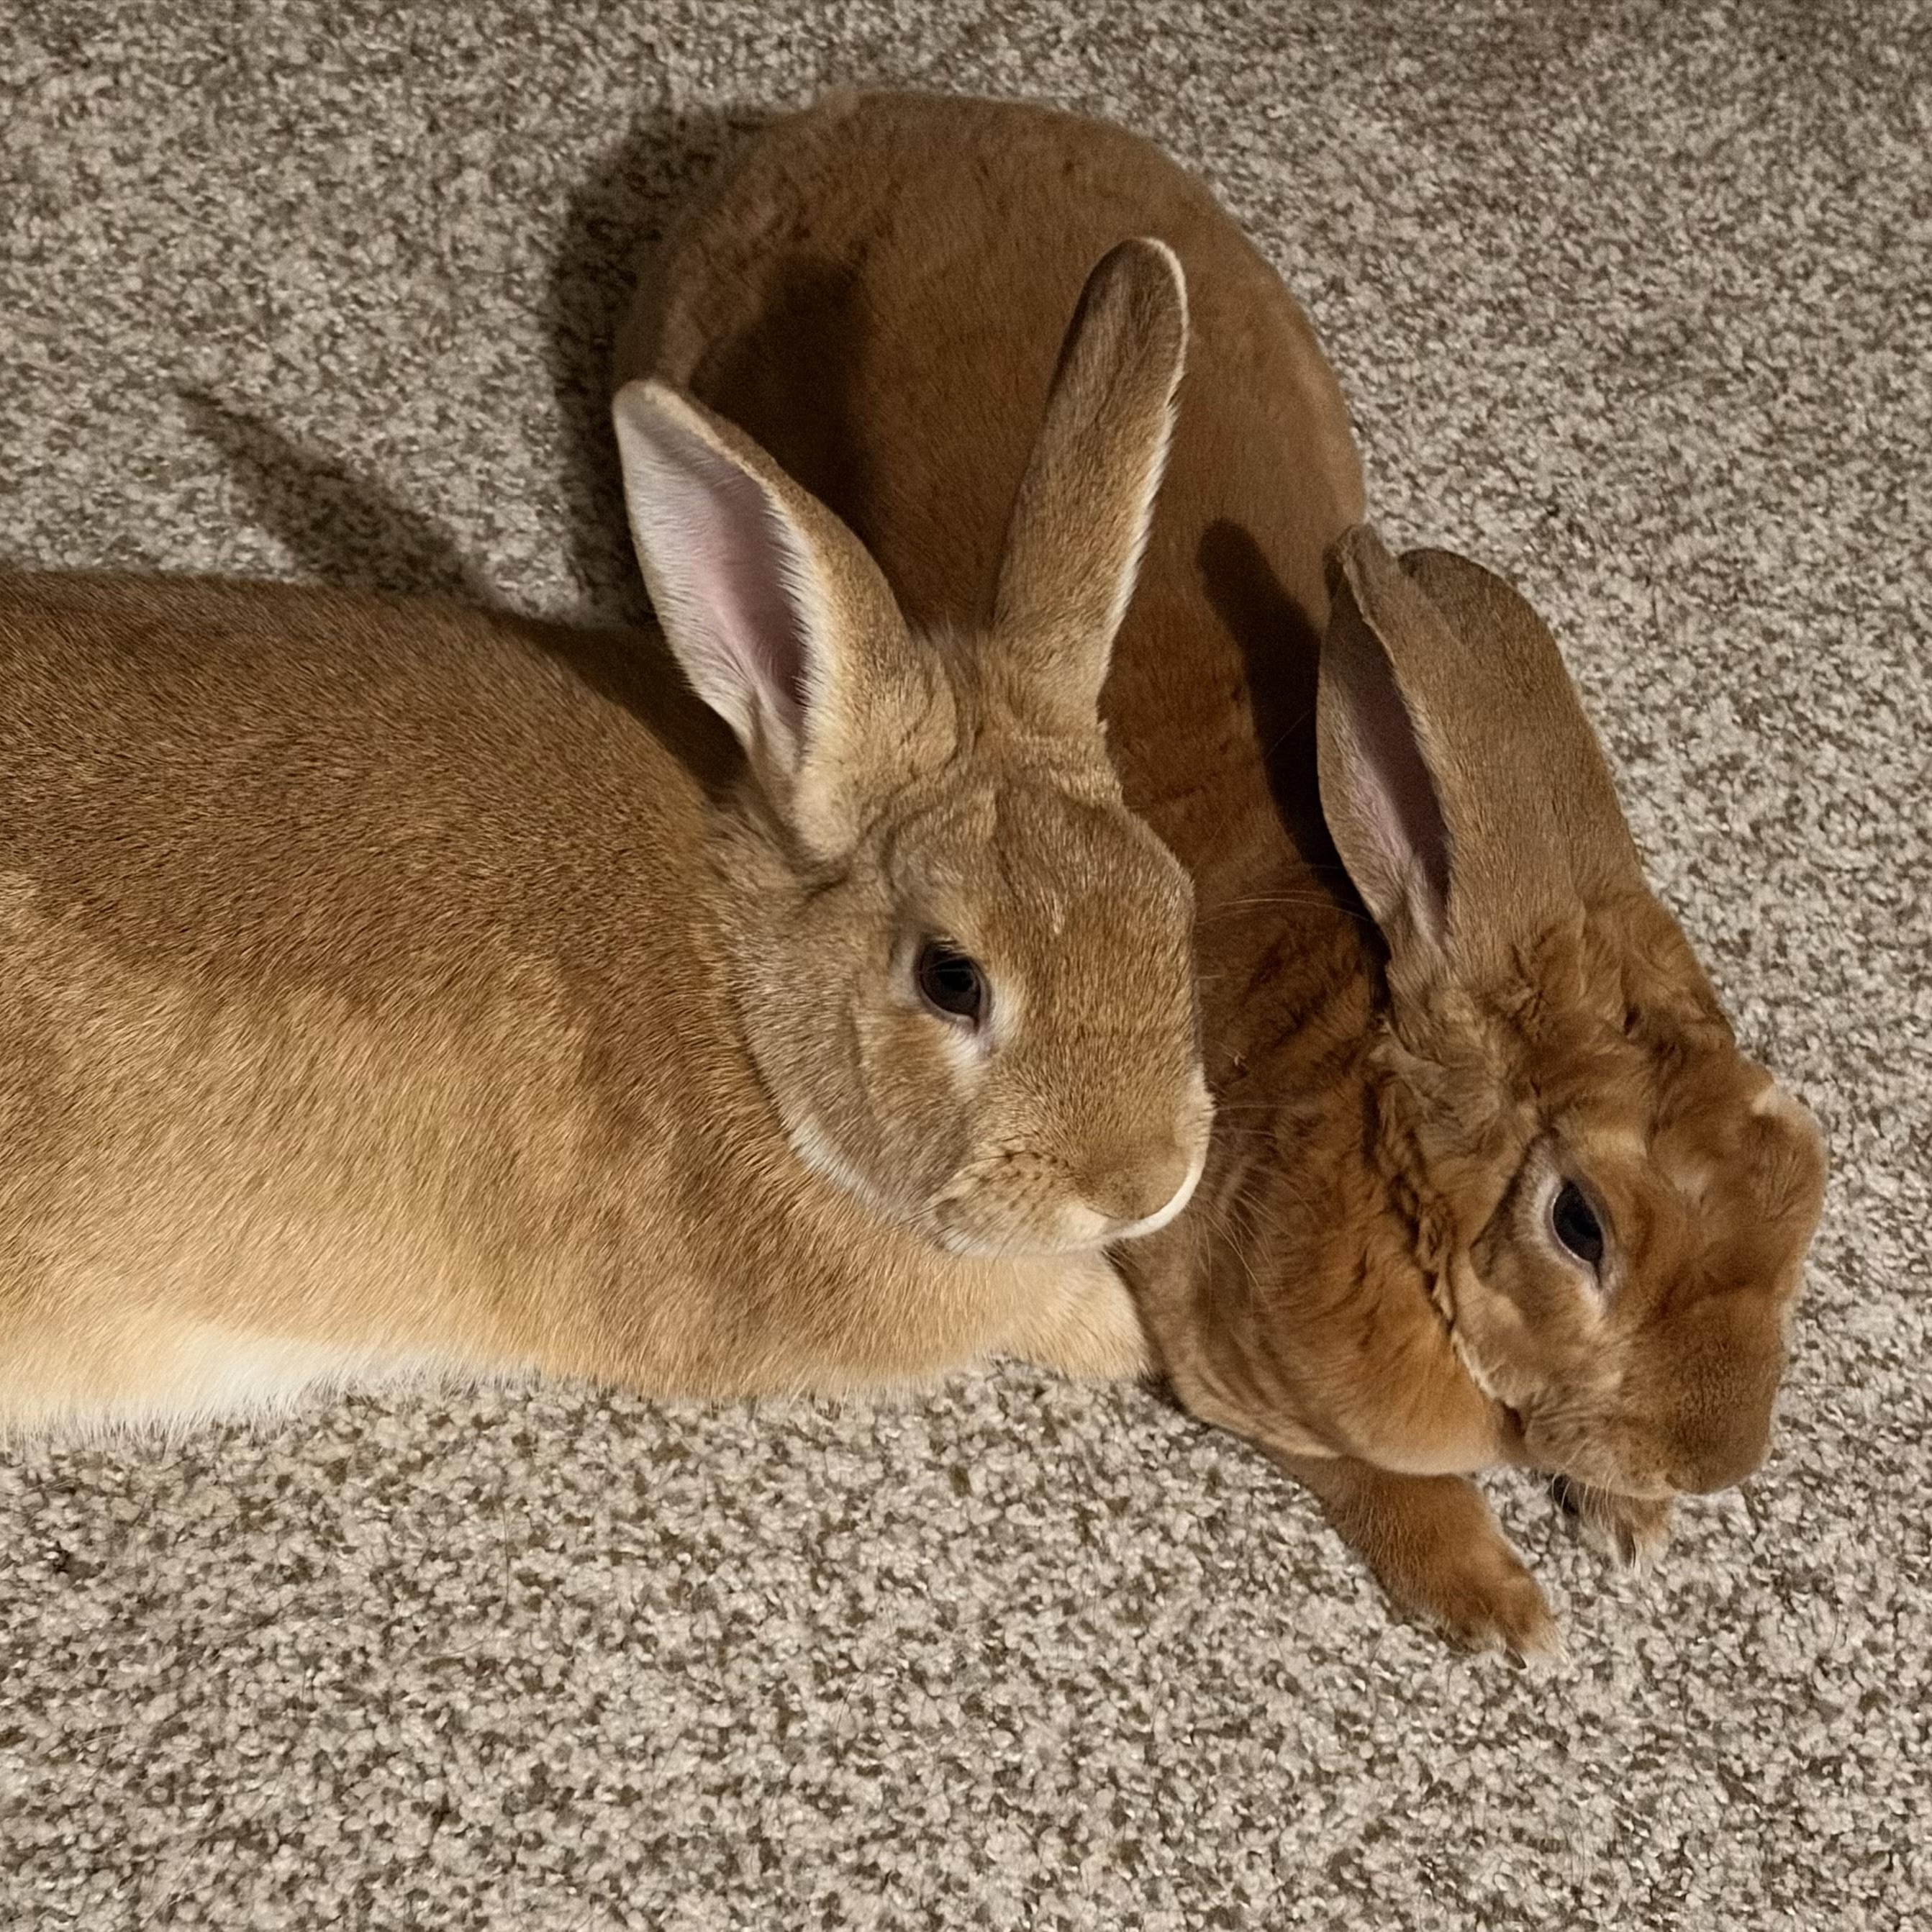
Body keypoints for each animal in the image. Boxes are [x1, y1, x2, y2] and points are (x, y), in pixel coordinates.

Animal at [620, 89, 1830, 1655]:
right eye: (1580, 1225)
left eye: (1802, 1176)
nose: (1718, 1457)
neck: (1398, 1187)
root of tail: (850, 116)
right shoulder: (1242, 1375)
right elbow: (1383, 1485)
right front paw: (1500, 1608)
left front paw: (1629, 1518)